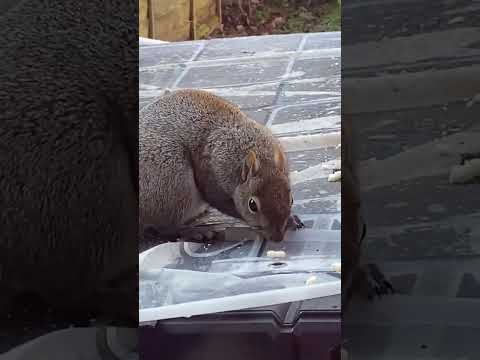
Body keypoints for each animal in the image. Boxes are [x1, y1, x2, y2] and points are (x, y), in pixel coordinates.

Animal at [140, 88, 304, 246]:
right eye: (252, 205)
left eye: (291, 199)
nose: (277, 238)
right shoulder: (212, 178)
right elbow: (225, 204)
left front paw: (291, 219)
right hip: (172, 183)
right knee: (166, 228)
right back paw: (196, 231)